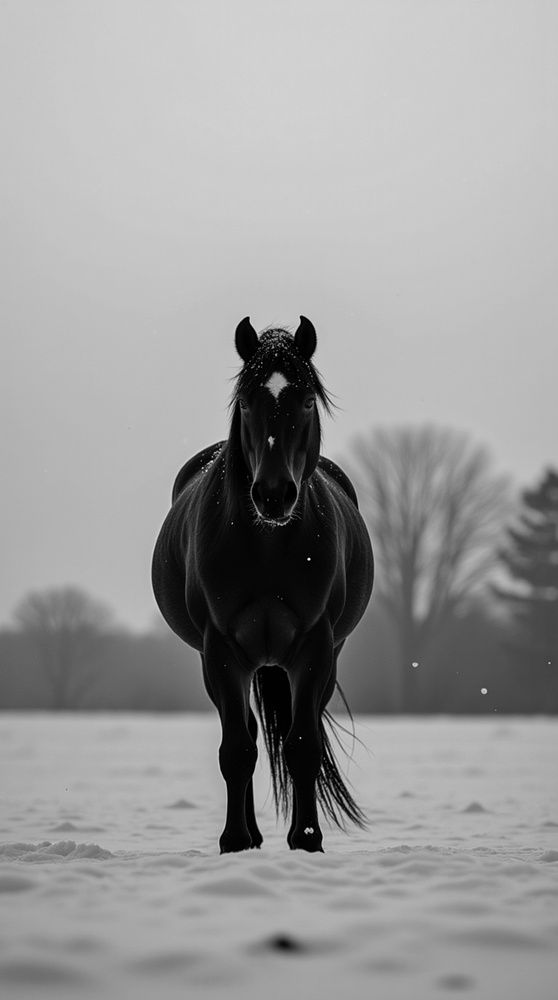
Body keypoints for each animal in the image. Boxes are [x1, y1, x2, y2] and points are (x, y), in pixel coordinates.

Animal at [152, 317, 373, 853]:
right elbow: (236, 749)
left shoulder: (316, 647)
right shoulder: (220, 649)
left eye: (308, 400)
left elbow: (303, 746)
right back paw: (251, 834)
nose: (273, 494)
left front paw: (307, 838)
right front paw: (234, 840)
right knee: (249, 734)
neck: (269, 546)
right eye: (248, 401)